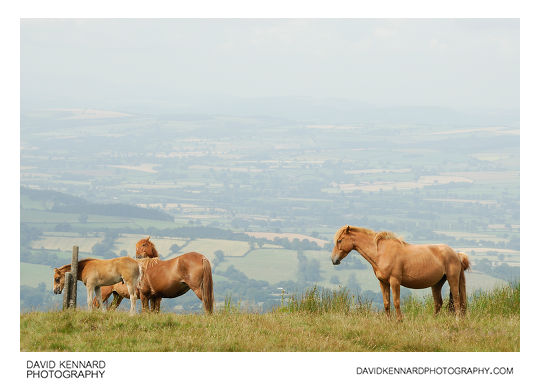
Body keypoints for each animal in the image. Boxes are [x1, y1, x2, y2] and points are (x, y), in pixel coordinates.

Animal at [330, 224, 468, 320]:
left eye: (340, 240)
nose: (334, 260)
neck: (381, 252)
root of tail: (456, 254)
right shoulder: (383, 282)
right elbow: (386, 303)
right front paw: (388, 321)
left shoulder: (394, 281)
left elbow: (396, 302)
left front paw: (399, 321)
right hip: (437, 283)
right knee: (438, 303)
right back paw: (433, 320)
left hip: (452, 279)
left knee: (457, 300)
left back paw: (456, 320)